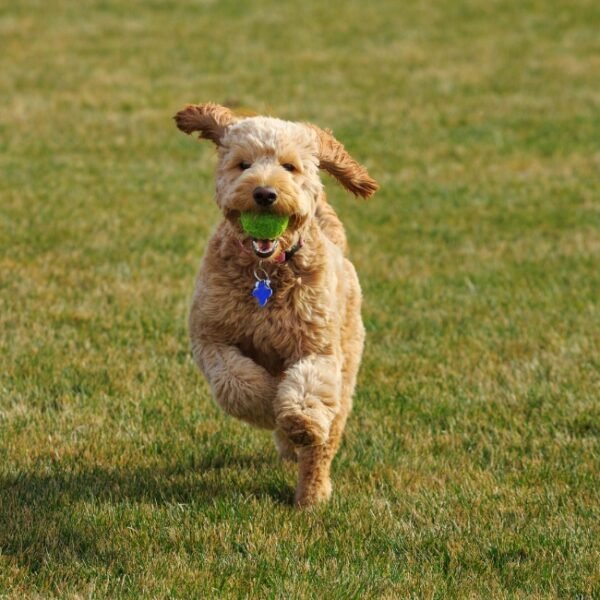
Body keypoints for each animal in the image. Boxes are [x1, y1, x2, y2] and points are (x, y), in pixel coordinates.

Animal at [176, 104, 378, 506]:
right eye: (243, 164)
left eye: (289, 166)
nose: (265, 193)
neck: (266, 270)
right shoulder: (211, 338)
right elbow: (238, 384)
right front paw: (269, 403)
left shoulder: (318, 348)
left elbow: (307, 390)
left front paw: (297, 421)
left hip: (346, 363)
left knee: (323, 443)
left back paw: (311, 495)